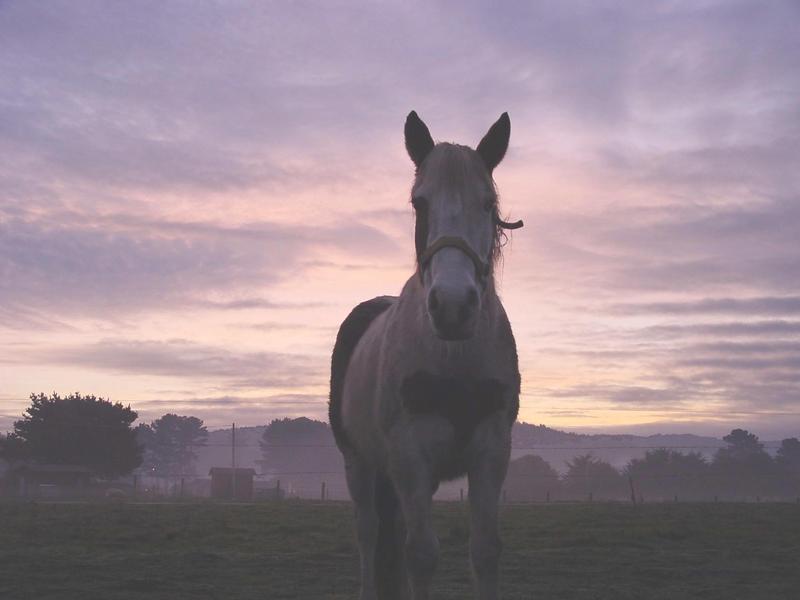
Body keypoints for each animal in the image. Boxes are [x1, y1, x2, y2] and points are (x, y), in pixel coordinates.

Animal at [328, 112, 520, 600]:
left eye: (488, 203)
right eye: (420, 203)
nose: (453, 306)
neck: (453, 358)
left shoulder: (491, 452)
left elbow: (485, 550)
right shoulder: (410, 456)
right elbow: (421, 555)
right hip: (359, 463)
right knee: (369, 534)